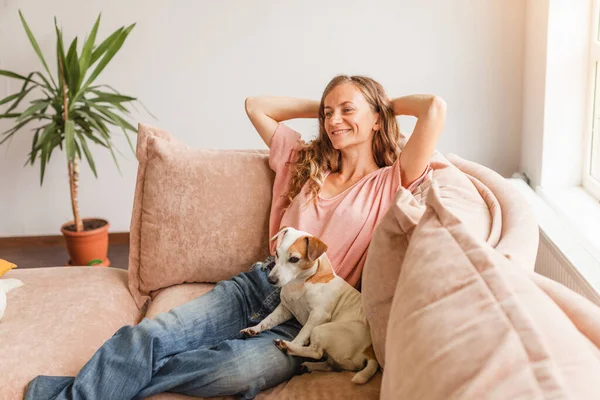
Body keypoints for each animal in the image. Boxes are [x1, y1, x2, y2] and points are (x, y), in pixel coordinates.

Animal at [240, 227, 378, 382]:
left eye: (294, 259)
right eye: (276, 253)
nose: (271, 280)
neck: (300, 282)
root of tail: (369, 351)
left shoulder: (318, 315)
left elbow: (303, 332)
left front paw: (294, 343)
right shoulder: (285, 309)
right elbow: (268, 320)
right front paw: (254, 328)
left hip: (321, 330)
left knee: (316, 352)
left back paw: (288, 346)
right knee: (329, 364)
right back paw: (308, 366)